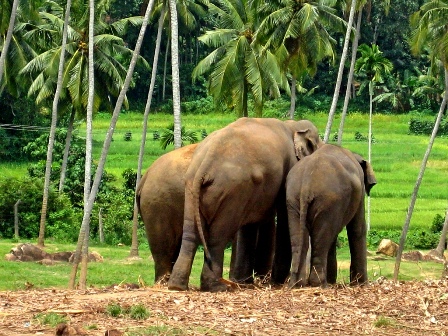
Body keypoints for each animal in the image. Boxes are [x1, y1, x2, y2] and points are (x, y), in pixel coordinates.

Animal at [167, 118, 322, 292]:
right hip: (230, 188)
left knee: (190, 234)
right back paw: (218, 287)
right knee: (218, 237)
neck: (292, 124)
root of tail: (205, 163)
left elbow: (249, 226)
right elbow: (283, 217)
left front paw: (245, 282)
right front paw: (277, 281)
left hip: (194, 188)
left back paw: (177, 286)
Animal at [286, 143, 376, 288]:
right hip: (328, 199)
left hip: (293, 198)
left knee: (301, 238)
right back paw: (320, 284)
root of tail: (307, 185)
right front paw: (361, 285)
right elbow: (358, 229)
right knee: (323, 238)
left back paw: (297, 283)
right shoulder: (360, 190)